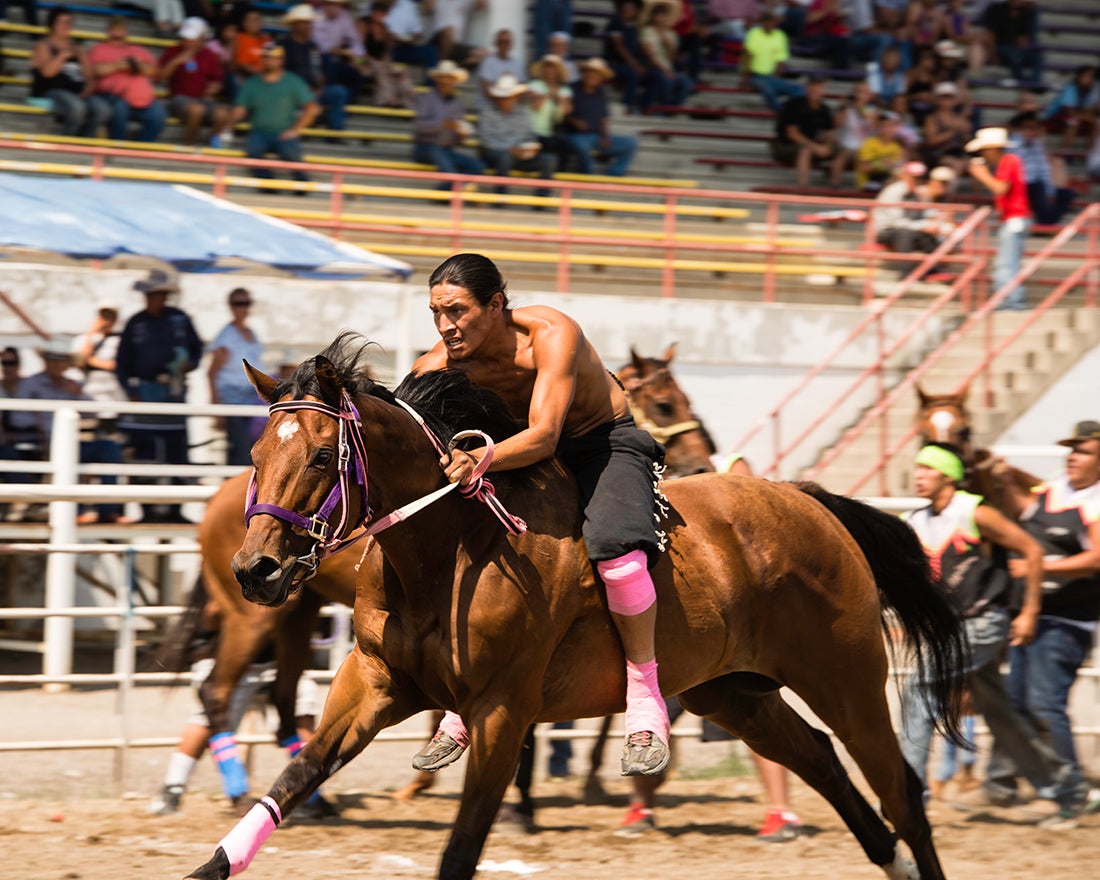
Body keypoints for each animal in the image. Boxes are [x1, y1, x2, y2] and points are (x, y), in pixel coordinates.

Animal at [184, 333, 965, 880]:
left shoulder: (503, 710)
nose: (256, 568)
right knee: (825, 763)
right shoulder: (372, 683)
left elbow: (464, 844)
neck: (453, 544)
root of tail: (812, 502)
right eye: (257, 453)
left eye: (322, 457)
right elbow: (289, 780)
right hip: (736, 694)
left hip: (846, 681)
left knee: (902, 791)